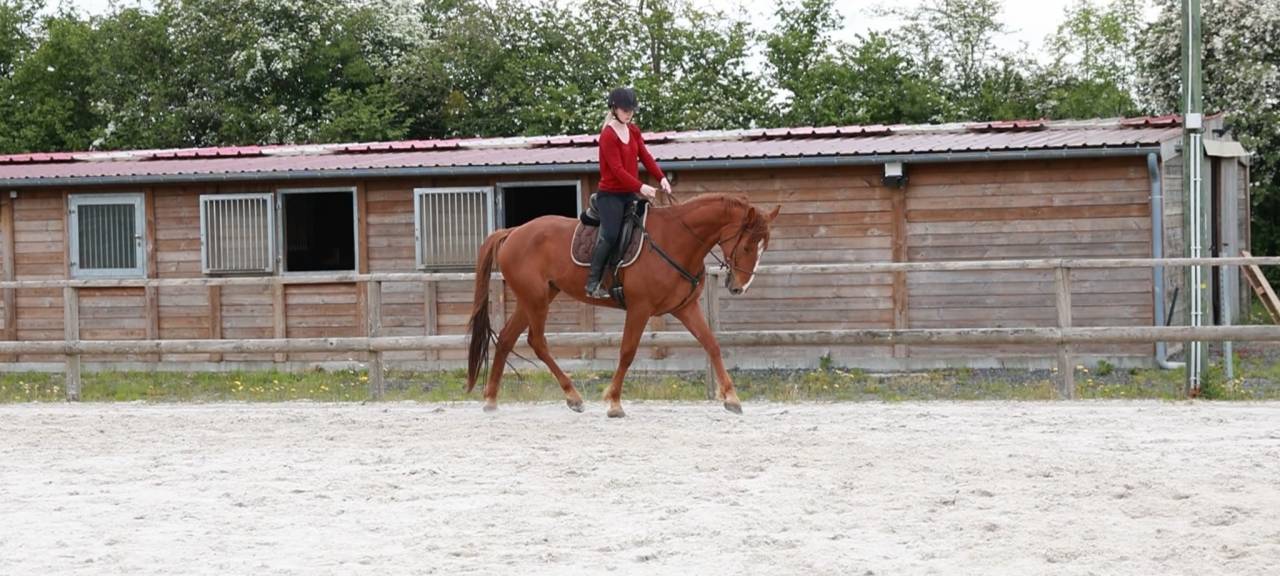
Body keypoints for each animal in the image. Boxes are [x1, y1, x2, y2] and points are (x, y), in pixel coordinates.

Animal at [464, 192, 780, 417]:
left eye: (764, 246)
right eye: (747, 246)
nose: (739, 287)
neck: (676, 240)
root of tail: (514, 231)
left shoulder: (685, 308)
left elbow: (711, 344)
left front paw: (732, 398)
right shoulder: (640, 308)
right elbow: (627, 352)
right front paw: (614, 402)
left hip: (535, 297)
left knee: (507, 337)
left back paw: (491, 399)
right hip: (536, 299)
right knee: (537, 341)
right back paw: (573, 396)